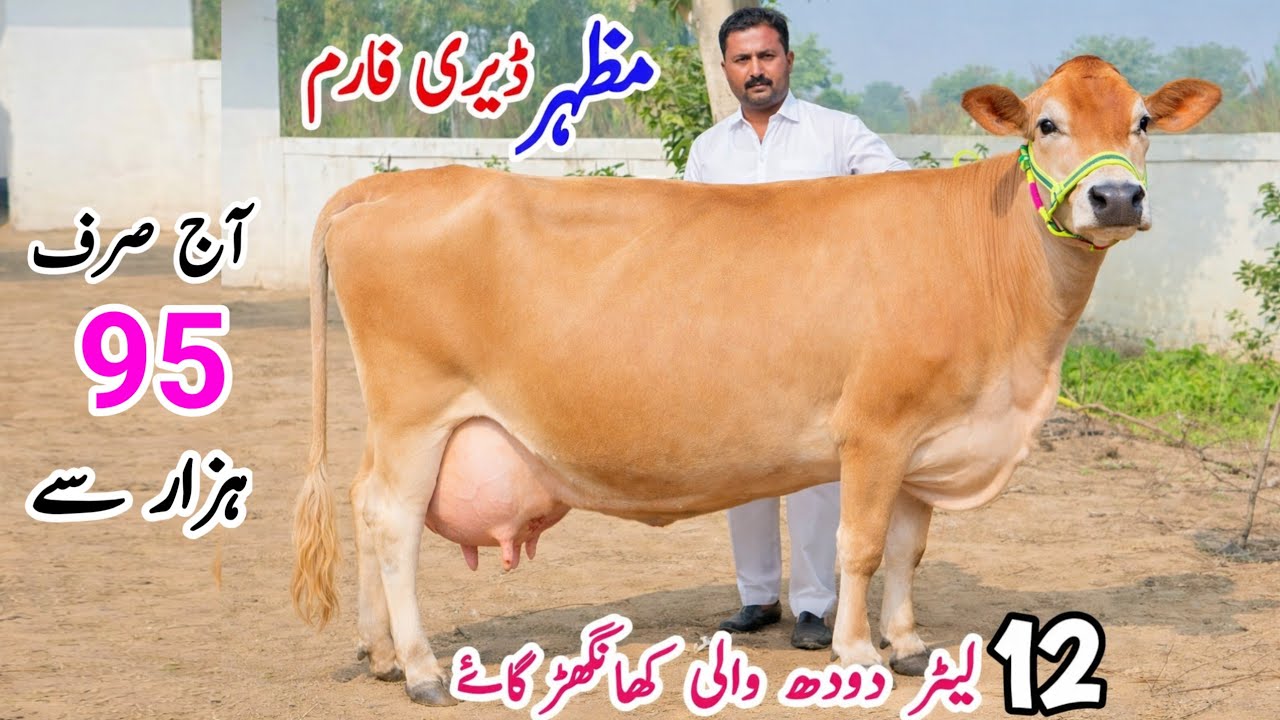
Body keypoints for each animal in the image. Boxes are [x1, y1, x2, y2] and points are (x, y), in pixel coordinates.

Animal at [292, 56, 1220, 706]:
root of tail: (388, 185)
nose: (1116, 197)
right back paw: (420, 669)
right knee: (392, 519)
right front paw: (856, 650)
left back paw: (381, 654)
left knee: (367, 505)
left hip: (403, 422)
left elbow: (909, 550)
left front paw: (909, 644)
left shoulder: (930, 436)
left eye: (1143, 120)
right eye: (1046, 123)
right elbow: (859, 546)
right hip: (416, 409)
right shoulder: (876, 429)